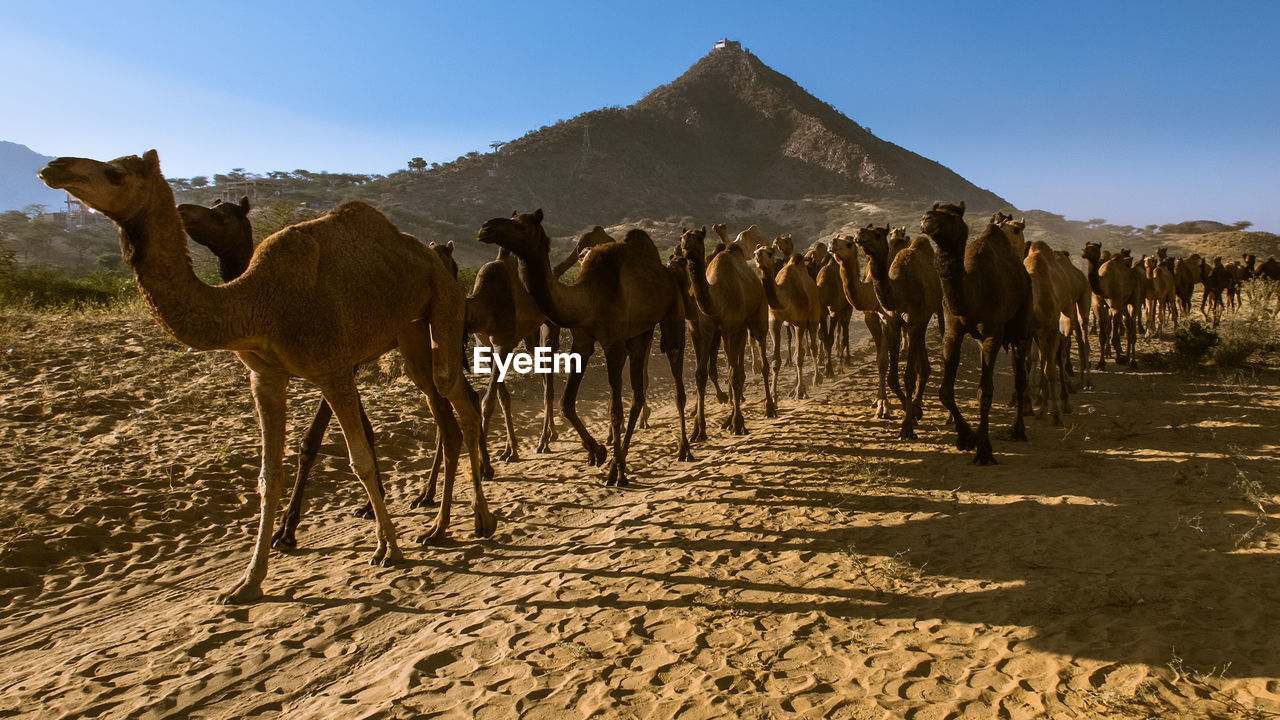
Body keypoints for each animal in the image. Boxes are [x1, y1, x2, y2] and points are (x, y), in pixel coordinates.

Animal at [37, 149, 491, 599]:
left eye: (115, 172)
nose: (55, 168)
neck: (260, 301)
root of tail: (437, 257)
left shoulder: (333, 367)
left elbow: (356, 457)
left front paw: (386, 548)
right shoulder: (265, 377)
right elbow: (268, 476)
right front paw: (247, 580)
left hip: (444, 307)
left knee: (460, 400)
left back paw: (480, 520)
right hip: (410, 332)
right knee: (444, 412)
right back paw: (439, 526)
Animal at [476, 210, 691, 484]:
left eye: (521, 226)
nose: (486, 228)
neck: (589, 297)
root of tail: (666, 272)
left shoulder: (614, 345)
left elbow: (615, 410)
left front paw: (613, 470)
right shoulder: (582, 342)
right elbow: (566, 403)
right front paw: (599, 452)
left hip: (673, 312)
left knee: (675, 376)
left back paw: (683, 450)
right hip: (640, 333)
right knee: (638, 395)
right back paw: (622, 458)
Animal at [675, 226, 773, 438]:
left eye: (698, 238)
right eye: (682, 237)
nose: (685, 247)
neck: (717, 299)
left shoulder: (732, 329)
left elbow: (733, 374)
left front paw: (738, 424)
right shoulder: (706, 331)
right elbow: (701, 375)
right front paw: (698, 430)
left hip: (757, 318)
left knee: (760, 361)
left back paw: (769, 408)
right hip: (733, 333)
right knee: (735, 368)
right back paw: (728, 419)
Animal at [849, 222, 942, 438]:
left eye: (877, 234)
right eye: (862, 230)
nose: (859, 234)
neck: (900, 290)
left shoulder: (914, 320)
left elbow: (908, 376)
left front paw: (907, 426)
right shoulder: (892, 322)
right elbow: (892, 376)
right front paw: (913, 412)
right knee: (922, 359)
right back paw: (917, 403)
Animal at [921, 198, 1029, 461]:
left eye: (952, 215)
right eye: (935, 210)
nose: (927, 218)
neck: (973, 291)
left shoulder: (992, 334)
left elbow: (985, 392)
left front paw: (984, 451)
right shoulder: (952, 332)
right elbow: (945, 390)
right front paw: (966, 437)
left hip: (1022, 327)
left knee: (1021, 378)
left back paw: (1018, 430)